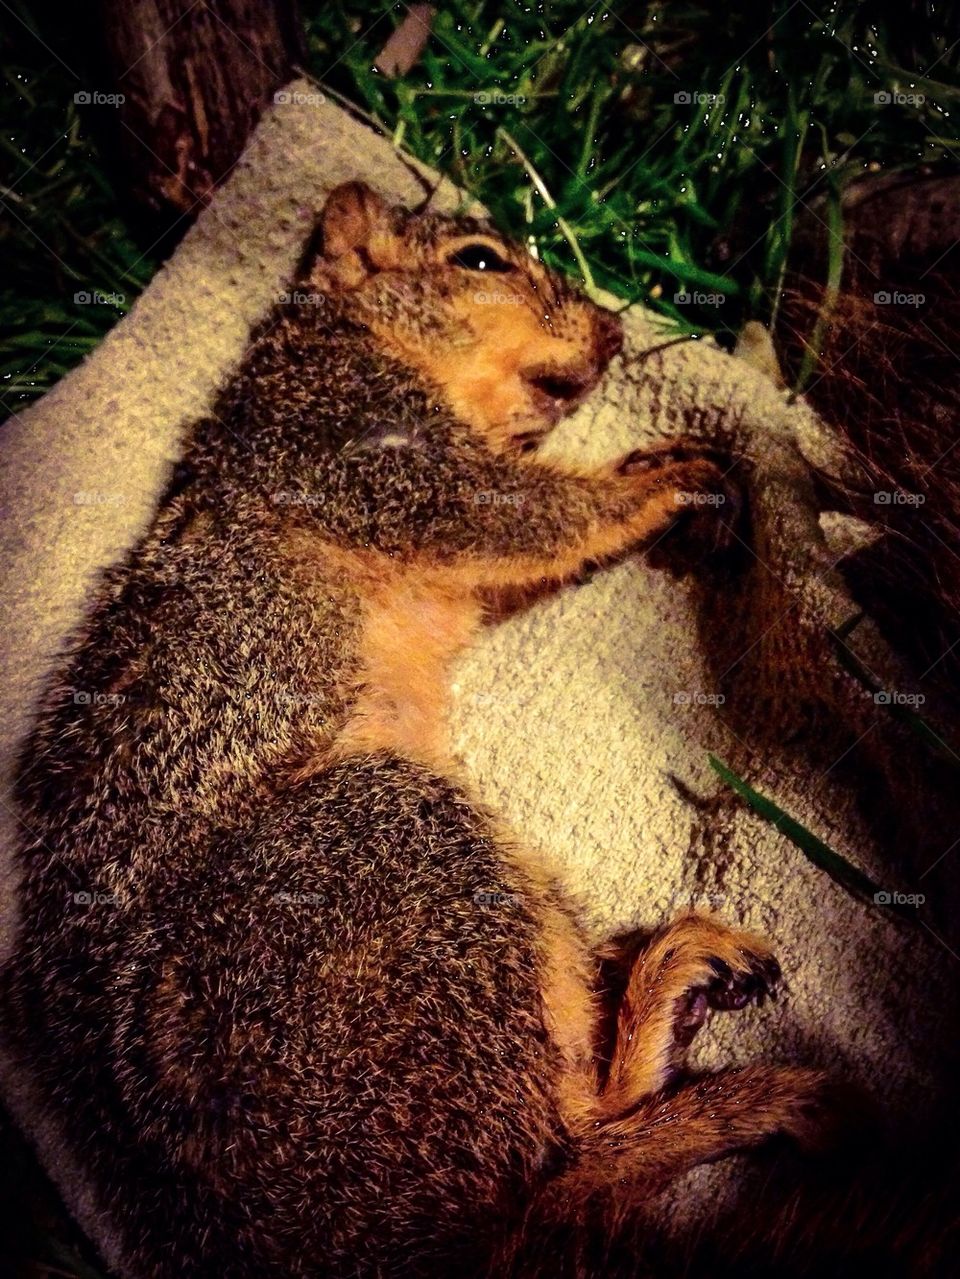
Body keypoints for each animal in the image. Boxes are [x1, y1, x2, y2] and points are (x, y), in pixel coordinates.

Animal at [1, 181, 837, 1278]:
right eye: (479, 260)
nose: (613, 333)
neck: (351, 339)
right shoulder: (361, 442)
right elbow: (516, 512)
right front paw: (664, 479)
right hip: (390, 854)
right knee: (556, 1168)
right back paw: (672, 1019)